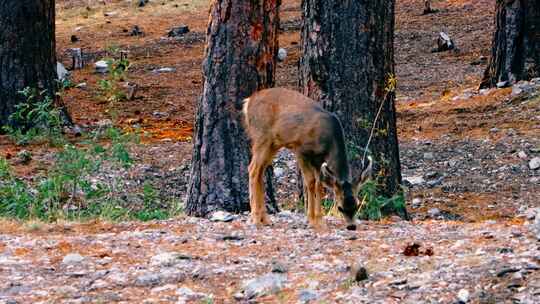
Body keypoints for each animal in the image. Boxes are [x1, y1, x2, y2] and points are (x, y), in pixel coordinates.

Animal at [244, 88, 374, 230]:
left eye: (357, 205)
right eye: (340, 208)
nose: (351, 226)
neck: (328, 140)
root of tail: (248, 101)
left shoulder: (319, 159)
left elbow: (319, 184)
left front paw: (320, 220)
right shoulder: (301, 150)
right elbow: (310, 182)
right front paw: (312, 220)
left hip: (273, 144)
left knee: (259, 171)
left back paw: (265, 219)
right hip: (261, 136)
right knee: (253, 169)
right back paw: (256, 219)